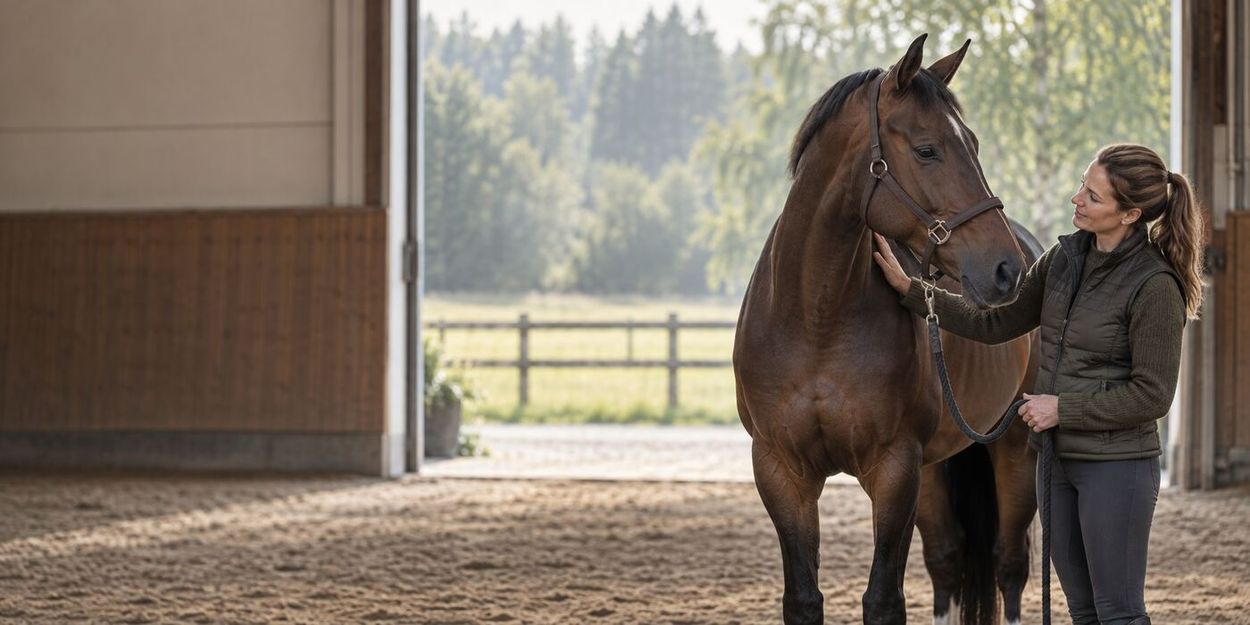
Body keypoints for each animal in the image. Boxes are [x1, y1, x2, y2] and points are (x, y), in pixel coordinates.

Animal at [733, 34, 1042, 625]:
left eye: (972, 143)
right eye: (926, 150)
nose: (1008, 271)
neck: (816, 319)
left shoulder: (896, 468)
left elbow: (883, 599)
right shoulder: (781, 471)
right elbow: (803, 598)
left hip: (1015, 450)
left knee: (1010, 567)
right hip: (939, 467)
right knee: (947, 562)